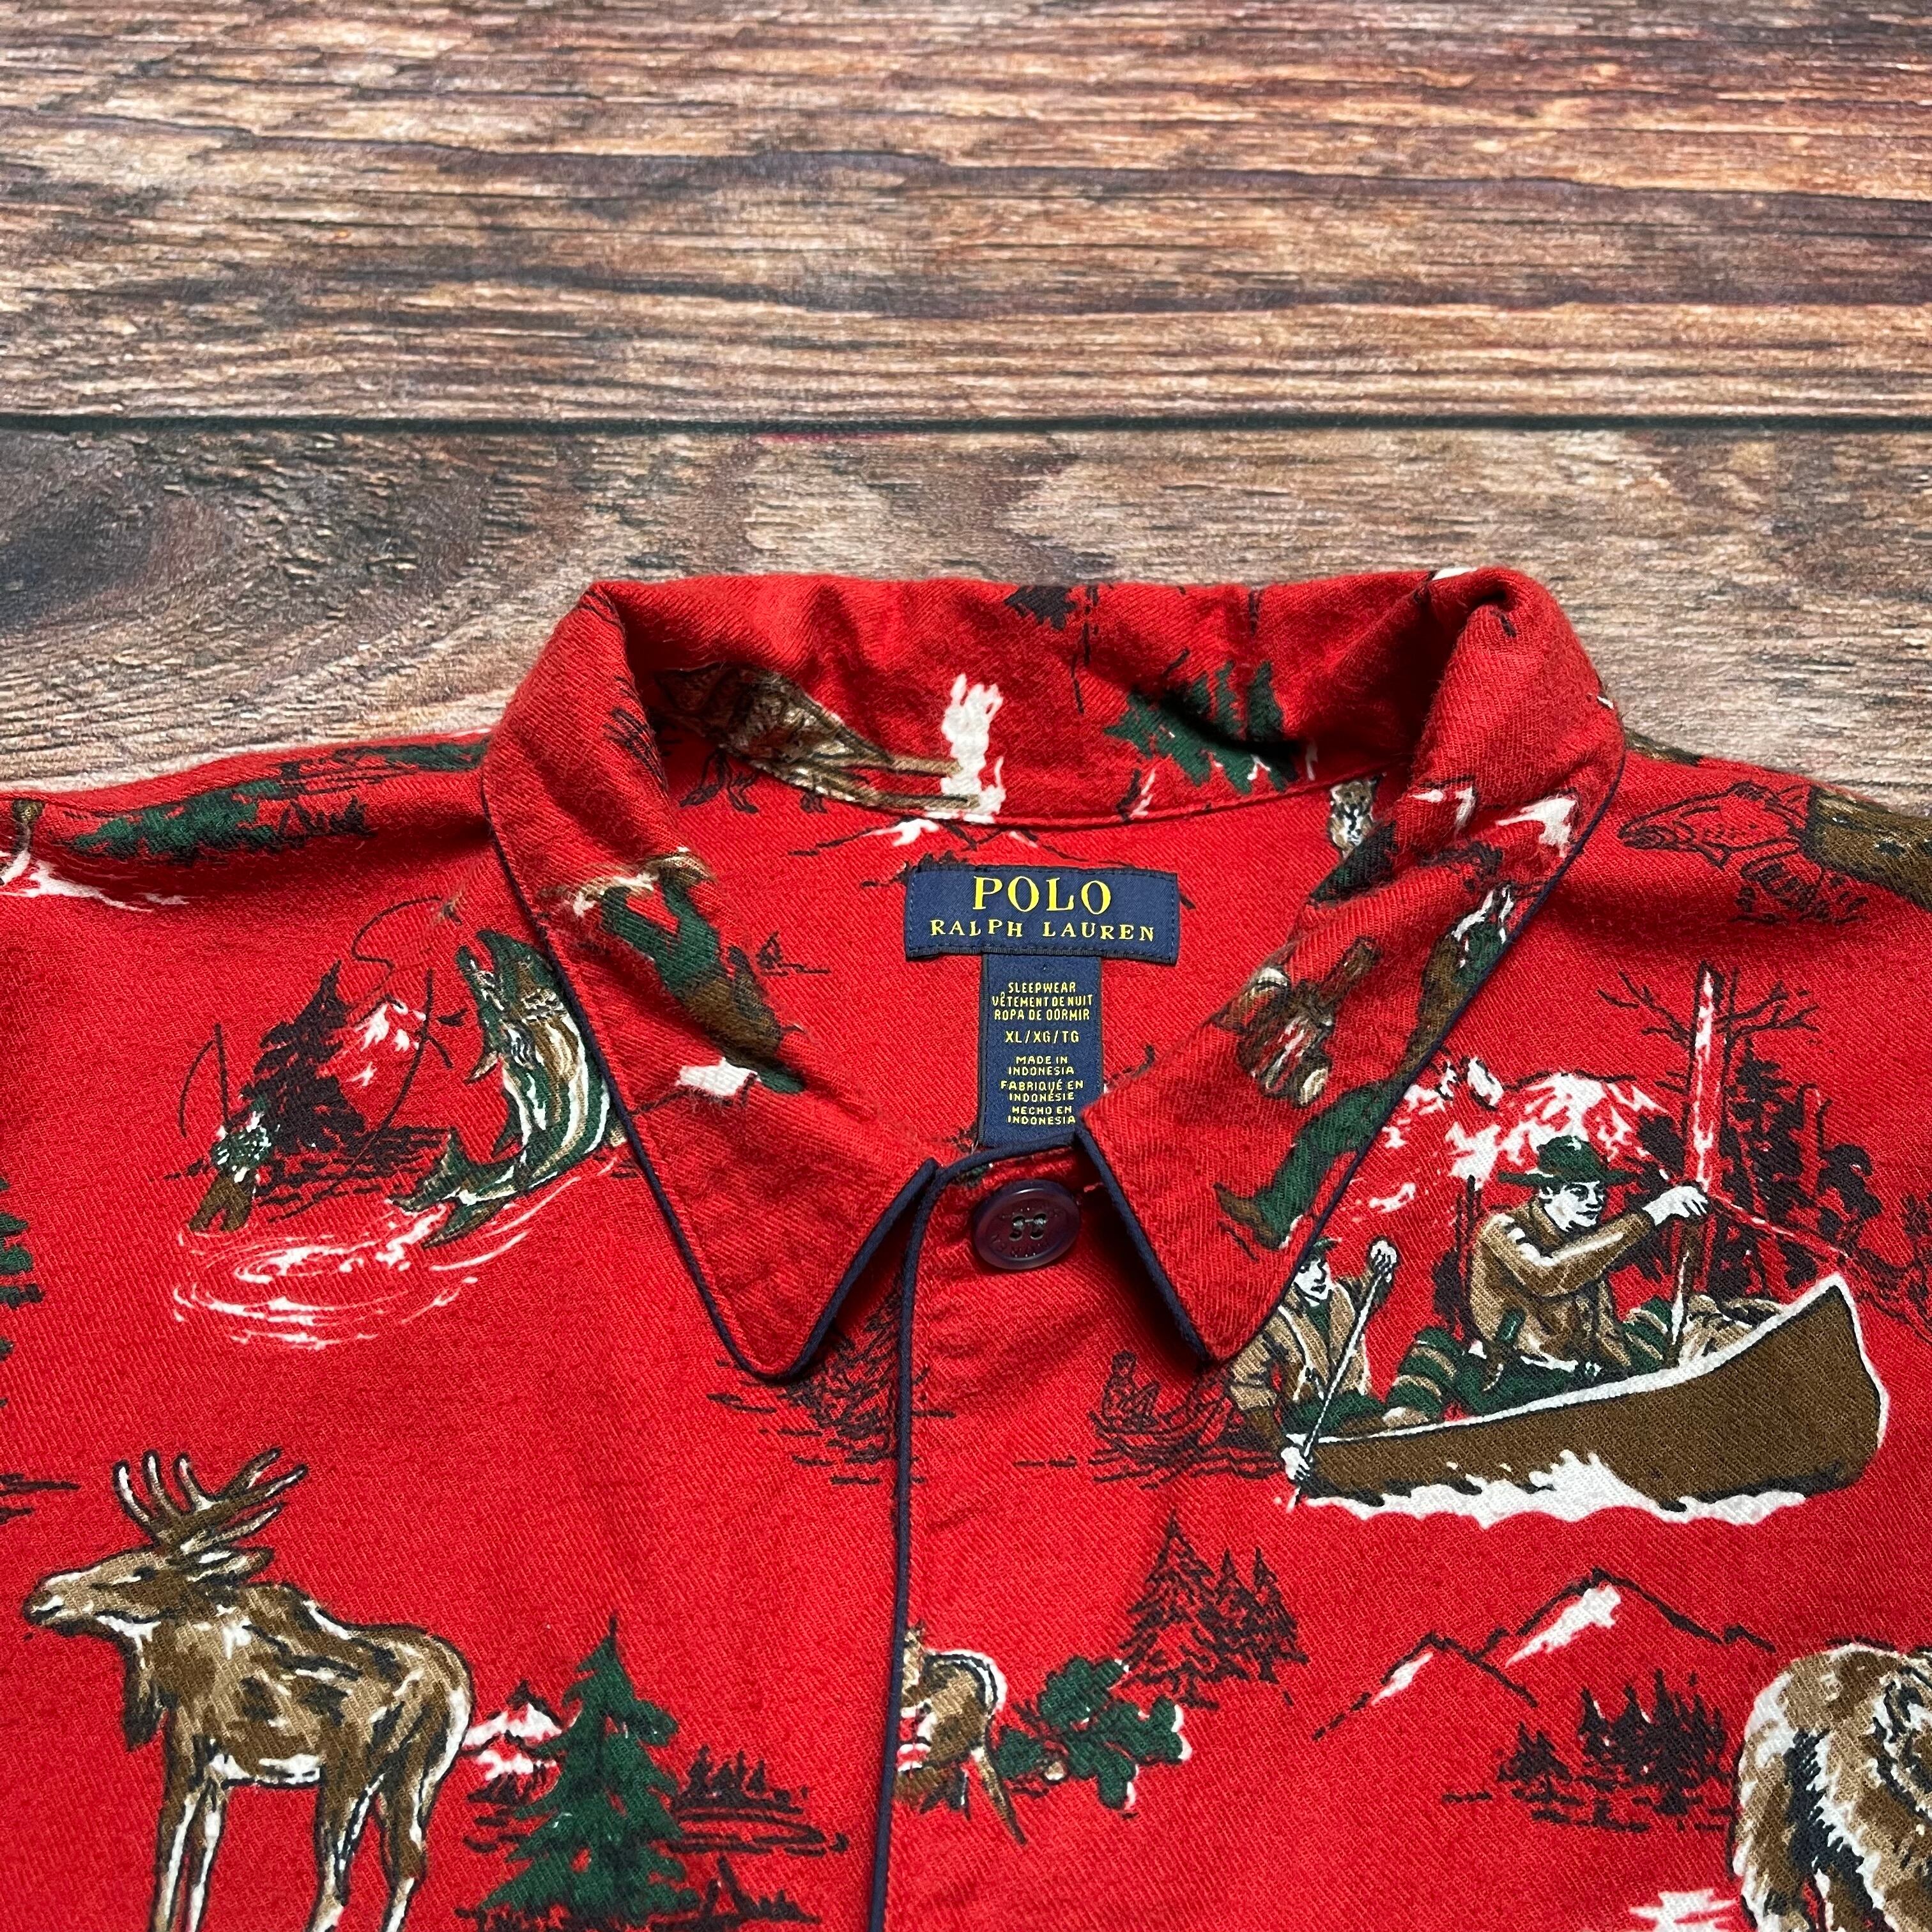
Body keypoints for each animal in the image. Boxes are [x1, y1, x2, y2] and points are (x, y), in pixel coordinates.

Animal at [23, 1448, 472, 1932]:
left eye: (141, 1570)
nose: (42, 1595)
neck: (172, 1661)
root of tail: (452, 1689)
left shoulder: (188, 1747)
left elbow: (169, 1850)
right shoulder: (222, 1776)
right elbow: (203, 1858)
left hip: (353, 1775)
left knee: (337, 1884)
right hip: (417, 1778)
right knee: (407, 1864)